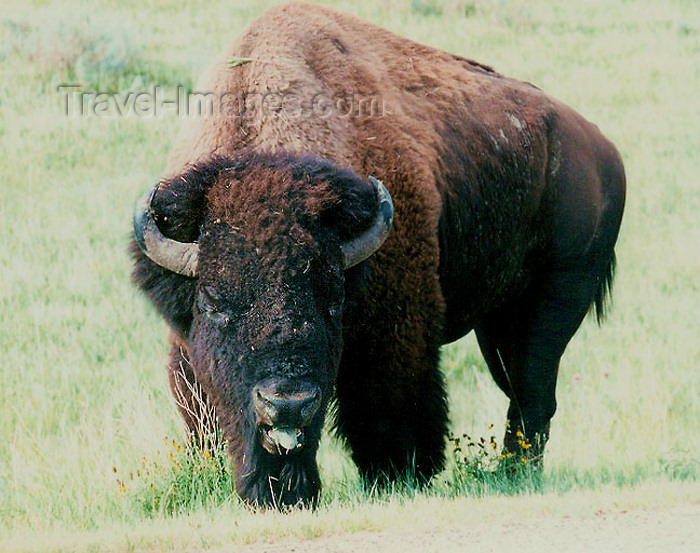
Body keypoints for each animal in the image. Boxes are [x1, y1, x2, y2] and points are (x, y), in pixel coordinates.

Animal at [130, 2, 624, 506]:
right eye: (212, 300)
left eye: (334, 298)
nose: (286, 403)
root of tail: (604, 153)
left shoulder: (396, 336)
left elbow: (390, 409)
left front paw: (399, 477)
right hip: (498, 322)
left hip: (556, 301)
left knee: (533, 392)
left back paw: (514, 474)